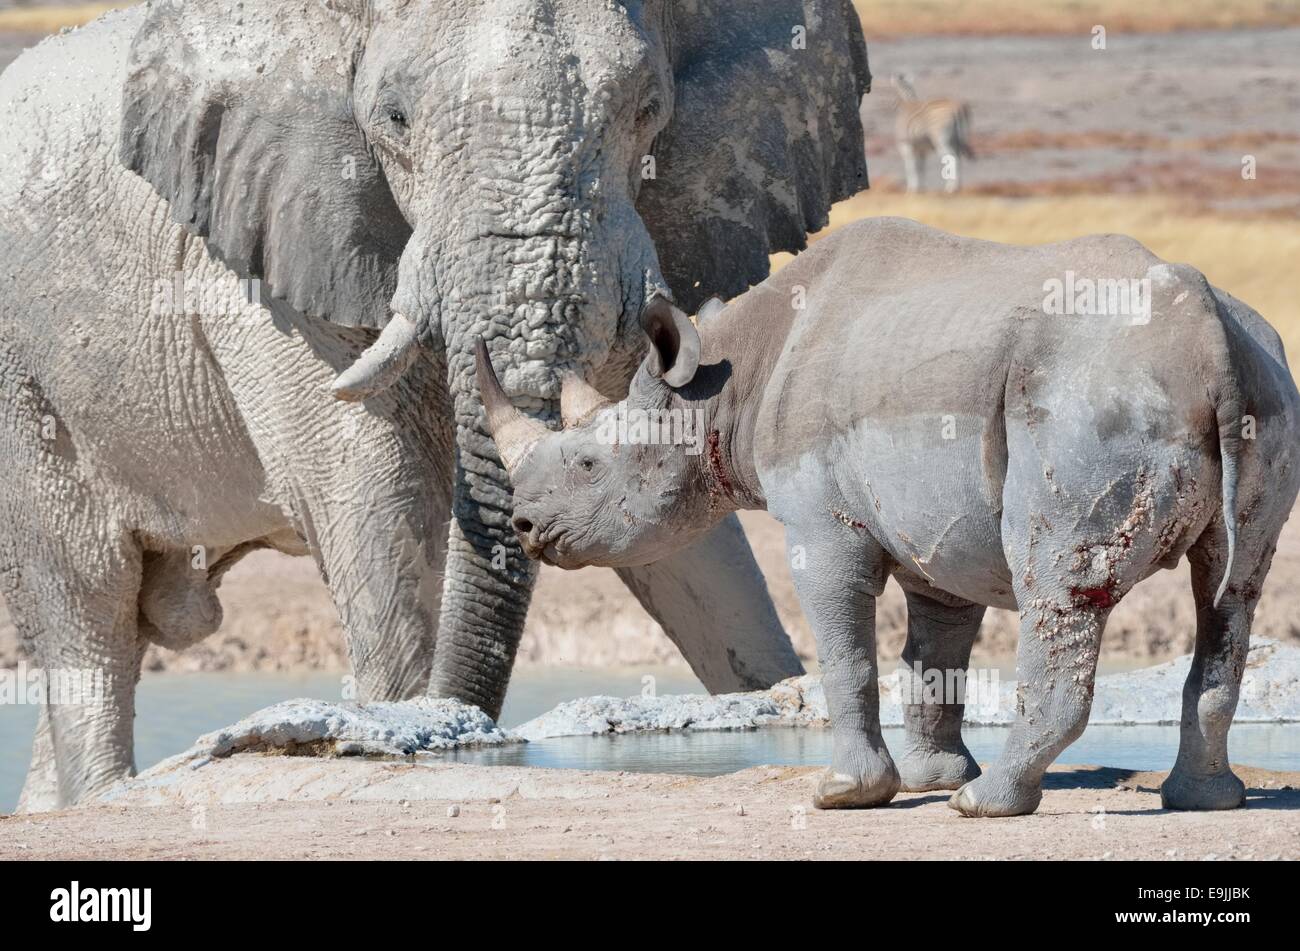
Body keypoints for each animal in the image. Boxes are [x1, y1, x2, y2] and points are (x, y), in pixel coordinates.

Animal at [0, 0, 873, 815]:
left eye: (648, 108)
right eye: (394, 117)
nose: (473, 732)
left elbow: (681, 534)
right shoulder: (259, 259)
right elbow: (376, 505)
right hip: (25, 390)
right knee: (91, 607)